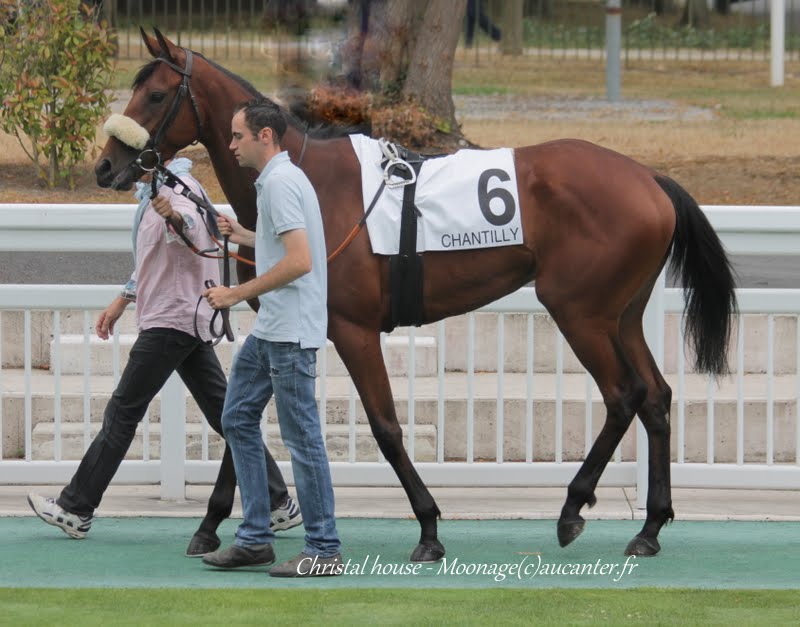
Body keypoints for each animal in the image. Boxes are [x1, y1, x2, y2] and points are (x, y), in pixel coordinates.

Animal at [95, 29, 736, 560]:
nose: (105, 166)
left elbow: (384, 425)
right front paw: (210, 525)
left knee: (624, 394)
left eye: (155, 96)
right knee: (656, 396)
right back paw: (649, 527)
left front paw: (428, 527)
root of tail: (650, 178)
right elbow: (241, 422)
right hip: (621, 314)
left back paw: (572, 509)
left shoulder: (352, 329)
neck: (308, 183)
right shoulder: (291, 329)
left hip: (579, 311)